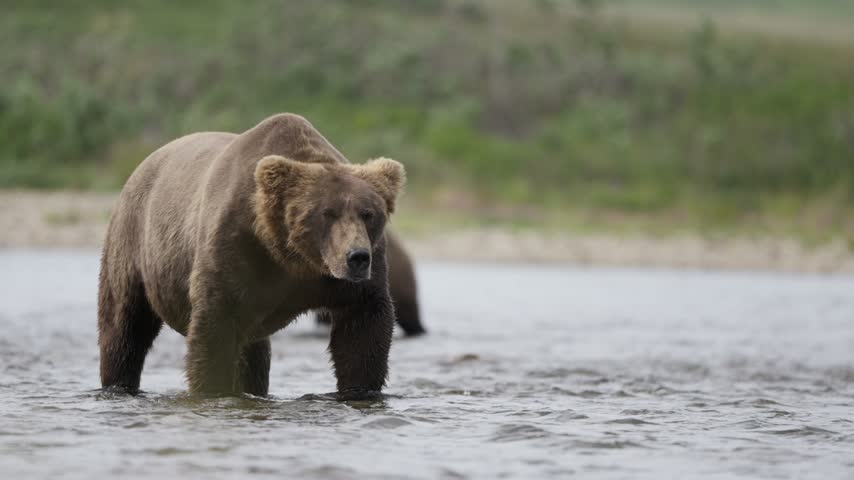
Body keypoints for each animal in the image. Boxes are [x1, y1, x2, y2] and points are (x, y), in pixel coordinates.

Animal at [97, 113, 405, 400]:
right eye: (327, 213)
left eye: (369, 213)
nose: (357, 257)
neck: (292, 257)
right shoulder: (235, 248)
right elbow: (214, 326)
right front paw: (212, 389)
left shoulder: (348, 279)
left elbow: (363, 329)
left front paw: (361, 390)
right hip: (133, 244)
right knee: (124, 325)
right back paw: (118, 383)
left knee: (255, 354)